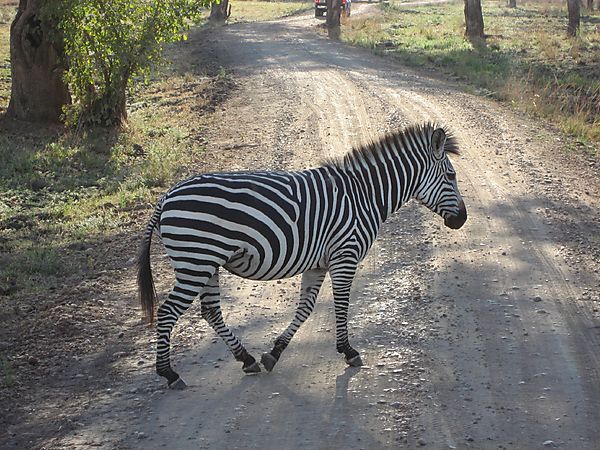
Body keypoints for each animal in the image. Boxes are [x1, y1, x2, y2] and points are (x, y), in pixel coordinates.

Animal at [138, 121, 466, 388]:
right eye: (451, 176)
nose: (462, 220)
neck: (365, 195)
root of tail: (167, 196)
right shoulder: (345, 255)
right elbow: (341, 305)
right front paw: (348, 352)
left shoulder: (319, 263)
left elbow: (305, 308)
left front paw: (273, 353)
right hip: (195, 261)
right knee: (168, 312)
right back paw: (169, 374)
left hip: (207, 264)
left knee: (210, 311)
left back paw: (247, 358)